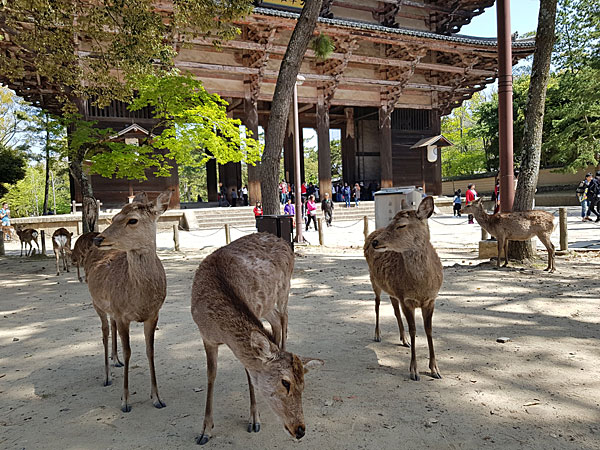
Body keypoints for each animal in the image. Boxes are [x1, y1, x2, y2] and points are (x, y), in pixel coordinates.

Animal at [88, 190, 175, 412]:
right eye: (113, 217)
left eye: (132, 220)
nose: (98, 239)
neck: (140, 299)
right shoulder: (122, 314)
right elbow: (128, 352)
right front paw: (125, 401)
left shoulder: (153, 315)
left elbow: (150, 351)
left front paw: (157, 398)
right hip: (96, 304)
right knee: (104, 333)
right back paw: (107, 376)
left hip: (110, 309)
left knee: (111, 329)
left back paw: (115, 360)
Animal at [192, 234, 324, 444]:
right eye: (285, 382)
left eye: (303, 385)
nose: (300, 430)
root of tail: (281, 239)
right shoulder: (206, 337)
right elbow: (211, 375)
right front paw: (205, 431)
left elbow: (249, 373)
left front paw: (254, 420)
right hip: (267, 305)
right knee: (276, 321)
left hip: (284, 289)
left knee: (284, 317)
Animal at [364, 196, 442, 380]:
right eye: (391, 222)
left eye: (401, 225)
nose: (375, 242)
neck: (421, 287)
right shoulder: (406, 299)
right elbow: (413, 330)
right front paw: (414, 371)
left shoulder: (431, 299)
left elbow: (429, 330)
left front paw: (435, 369)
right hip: (374, 280)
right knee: (377, 304)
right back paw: (377, 334)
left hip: (392, 289)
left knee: (394, 308)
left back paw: (403, 339)